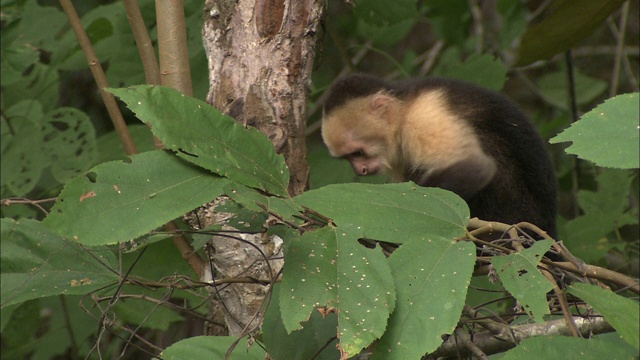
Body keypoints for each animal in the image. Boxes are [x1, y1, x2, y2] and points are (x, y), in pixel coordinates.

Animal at [322, 74, 556, 239]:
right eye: (348, 158)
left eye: (358, 152)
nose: (359, 170)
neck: (404, 110)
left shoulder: (425, 117)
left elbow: (477, 168)